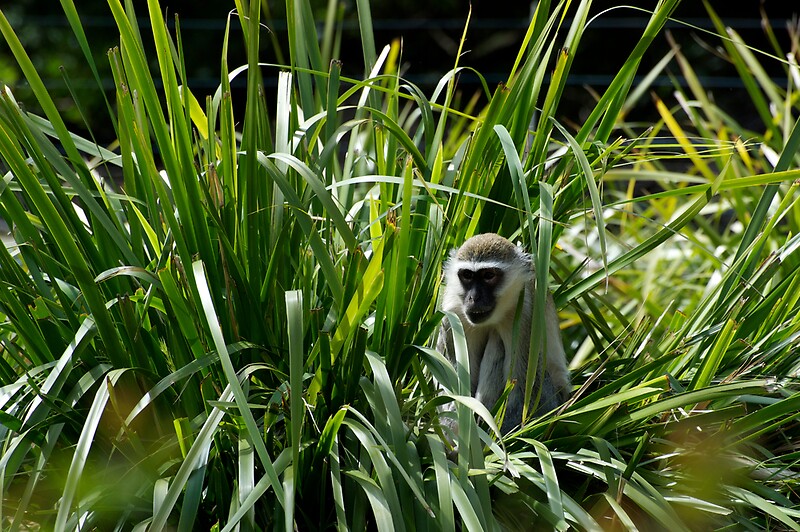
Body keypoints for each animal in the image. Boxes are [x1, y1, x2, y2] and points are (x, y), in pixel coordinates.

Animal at [437, 233, 570, 434]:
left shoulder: (527, 313)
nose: (473, 298)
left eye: (488, 275)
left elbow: (526, 393)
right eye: (467, 275)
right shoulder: (453, 313)